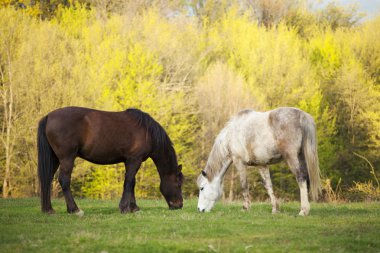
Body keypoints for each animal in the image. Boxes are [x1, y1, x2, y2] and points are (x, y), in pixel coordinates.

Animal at [37, 105, 184, 214]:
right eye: (178, 184)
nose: (179, 205)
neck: (148, 132)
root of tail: (49, 116)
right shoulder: (134, 160)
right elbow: (129, 182)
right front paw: (124, 208)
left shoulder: (129, 161)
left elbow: (132, 183)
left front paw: (133, 207)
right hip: (67, 158)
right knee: (64, 180)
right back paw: (74, 209)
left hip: (55, 159)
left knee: (48, 179)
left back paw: (49, 209)